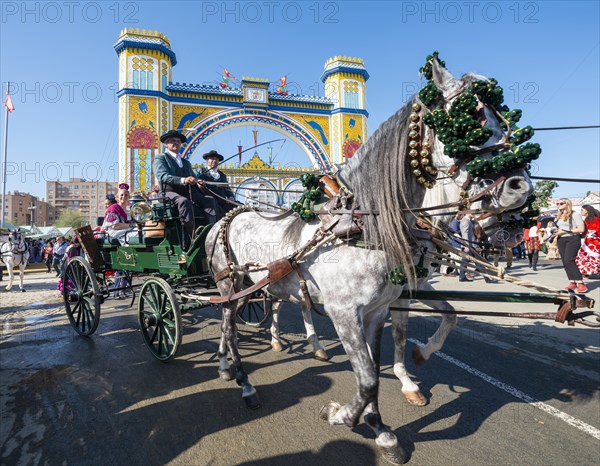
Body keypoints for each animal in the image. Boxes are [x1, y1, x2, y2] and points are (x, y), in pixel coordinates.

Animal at [209, 57, 532, 462]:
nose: (520, 188)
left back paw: (235, 362)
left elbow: (384, 364)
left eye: (503, 119)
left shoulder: (382, 306)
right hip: (228, 283)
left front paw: (382, 426)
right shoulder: (344, 311)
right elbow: (365, 377)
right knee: (229, 326)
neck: (362, 226)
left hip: (254, 287)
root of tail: (227, 214)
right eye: (467, 120)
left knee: (246, 317)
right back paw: (244, 381)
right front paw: (340, 415)